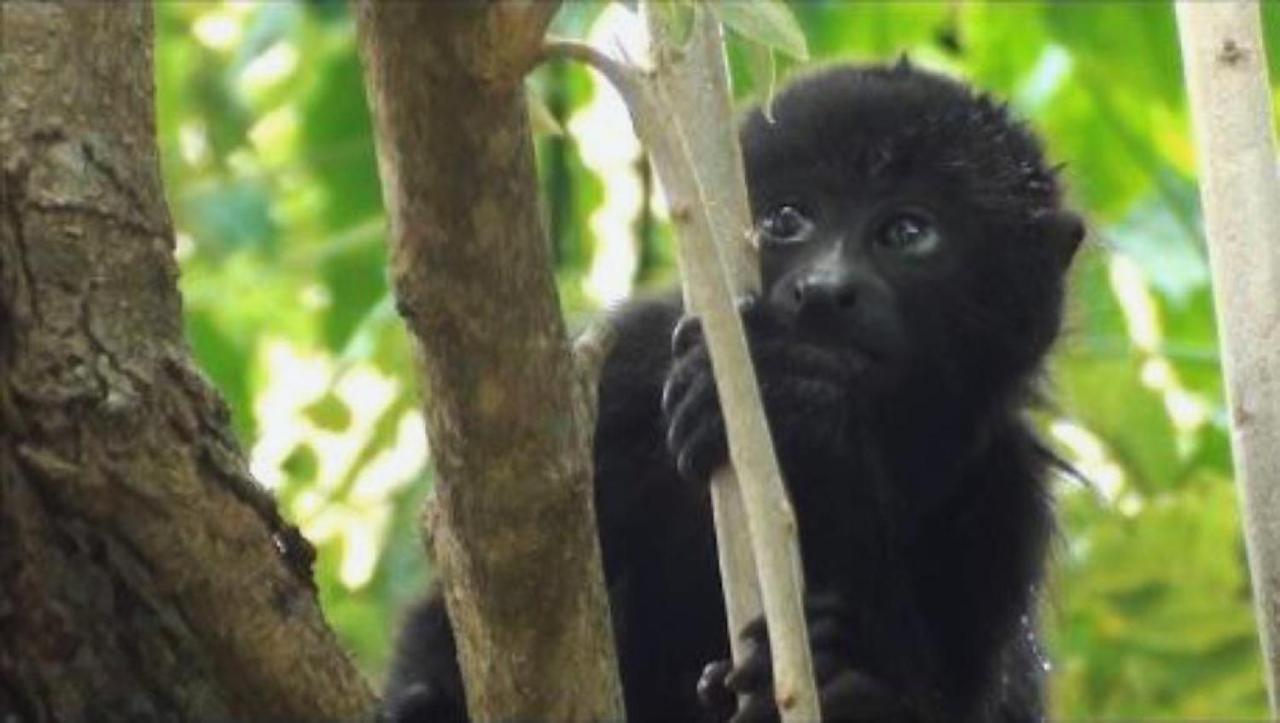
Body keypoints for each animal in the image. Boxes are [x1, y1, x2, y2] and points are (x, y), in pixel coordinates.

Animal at [386, 59, 1080, 716]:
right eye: (787, 219)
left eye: (907, 233)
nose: (823, 290)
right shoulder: (628, 373)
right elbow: (457, 608)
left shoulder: (1006, 499)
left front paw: (802, 410)